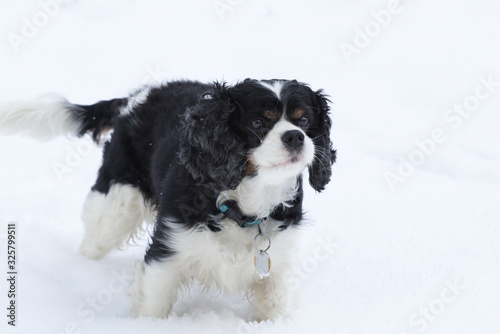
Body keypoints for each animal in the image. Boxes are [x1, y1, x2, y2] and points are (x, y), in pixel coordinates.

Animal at [0, 79, 336, 320]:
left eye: (304, 121)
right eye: (257, 124)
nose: (295, 137)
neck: (244, 203)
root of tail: (138, 96)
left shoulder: (276, 269)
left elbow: (275, 308)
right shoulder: (167, 255)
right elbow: (154, 305)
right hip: (117, 203)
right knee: (93, 240)